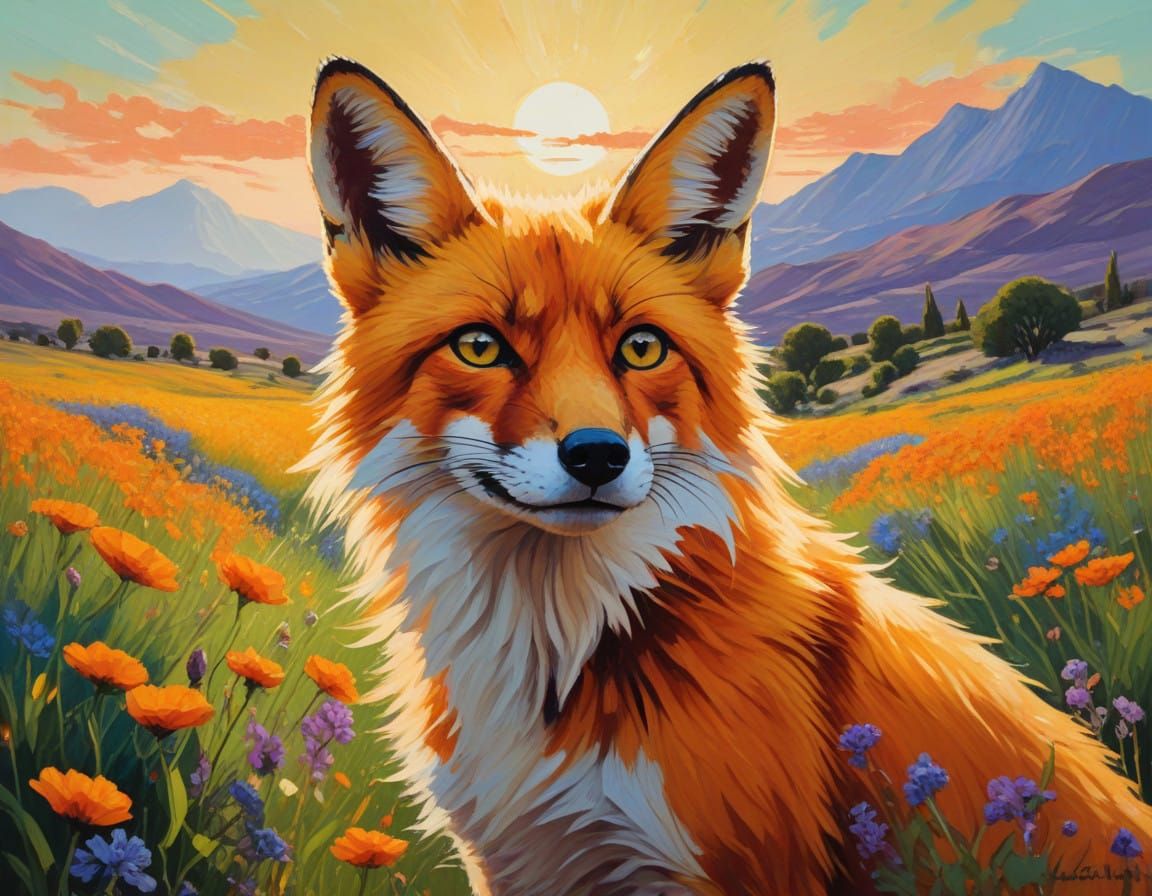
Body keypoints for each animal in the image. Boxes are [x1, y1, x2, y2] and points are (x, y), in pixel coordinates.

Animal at [298, 57, 1152, 895]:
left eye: (641, 347)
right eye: (480, 347)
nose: (598, 455)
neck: (565, 650)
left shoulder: (739, 865)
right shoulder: (514, 864)